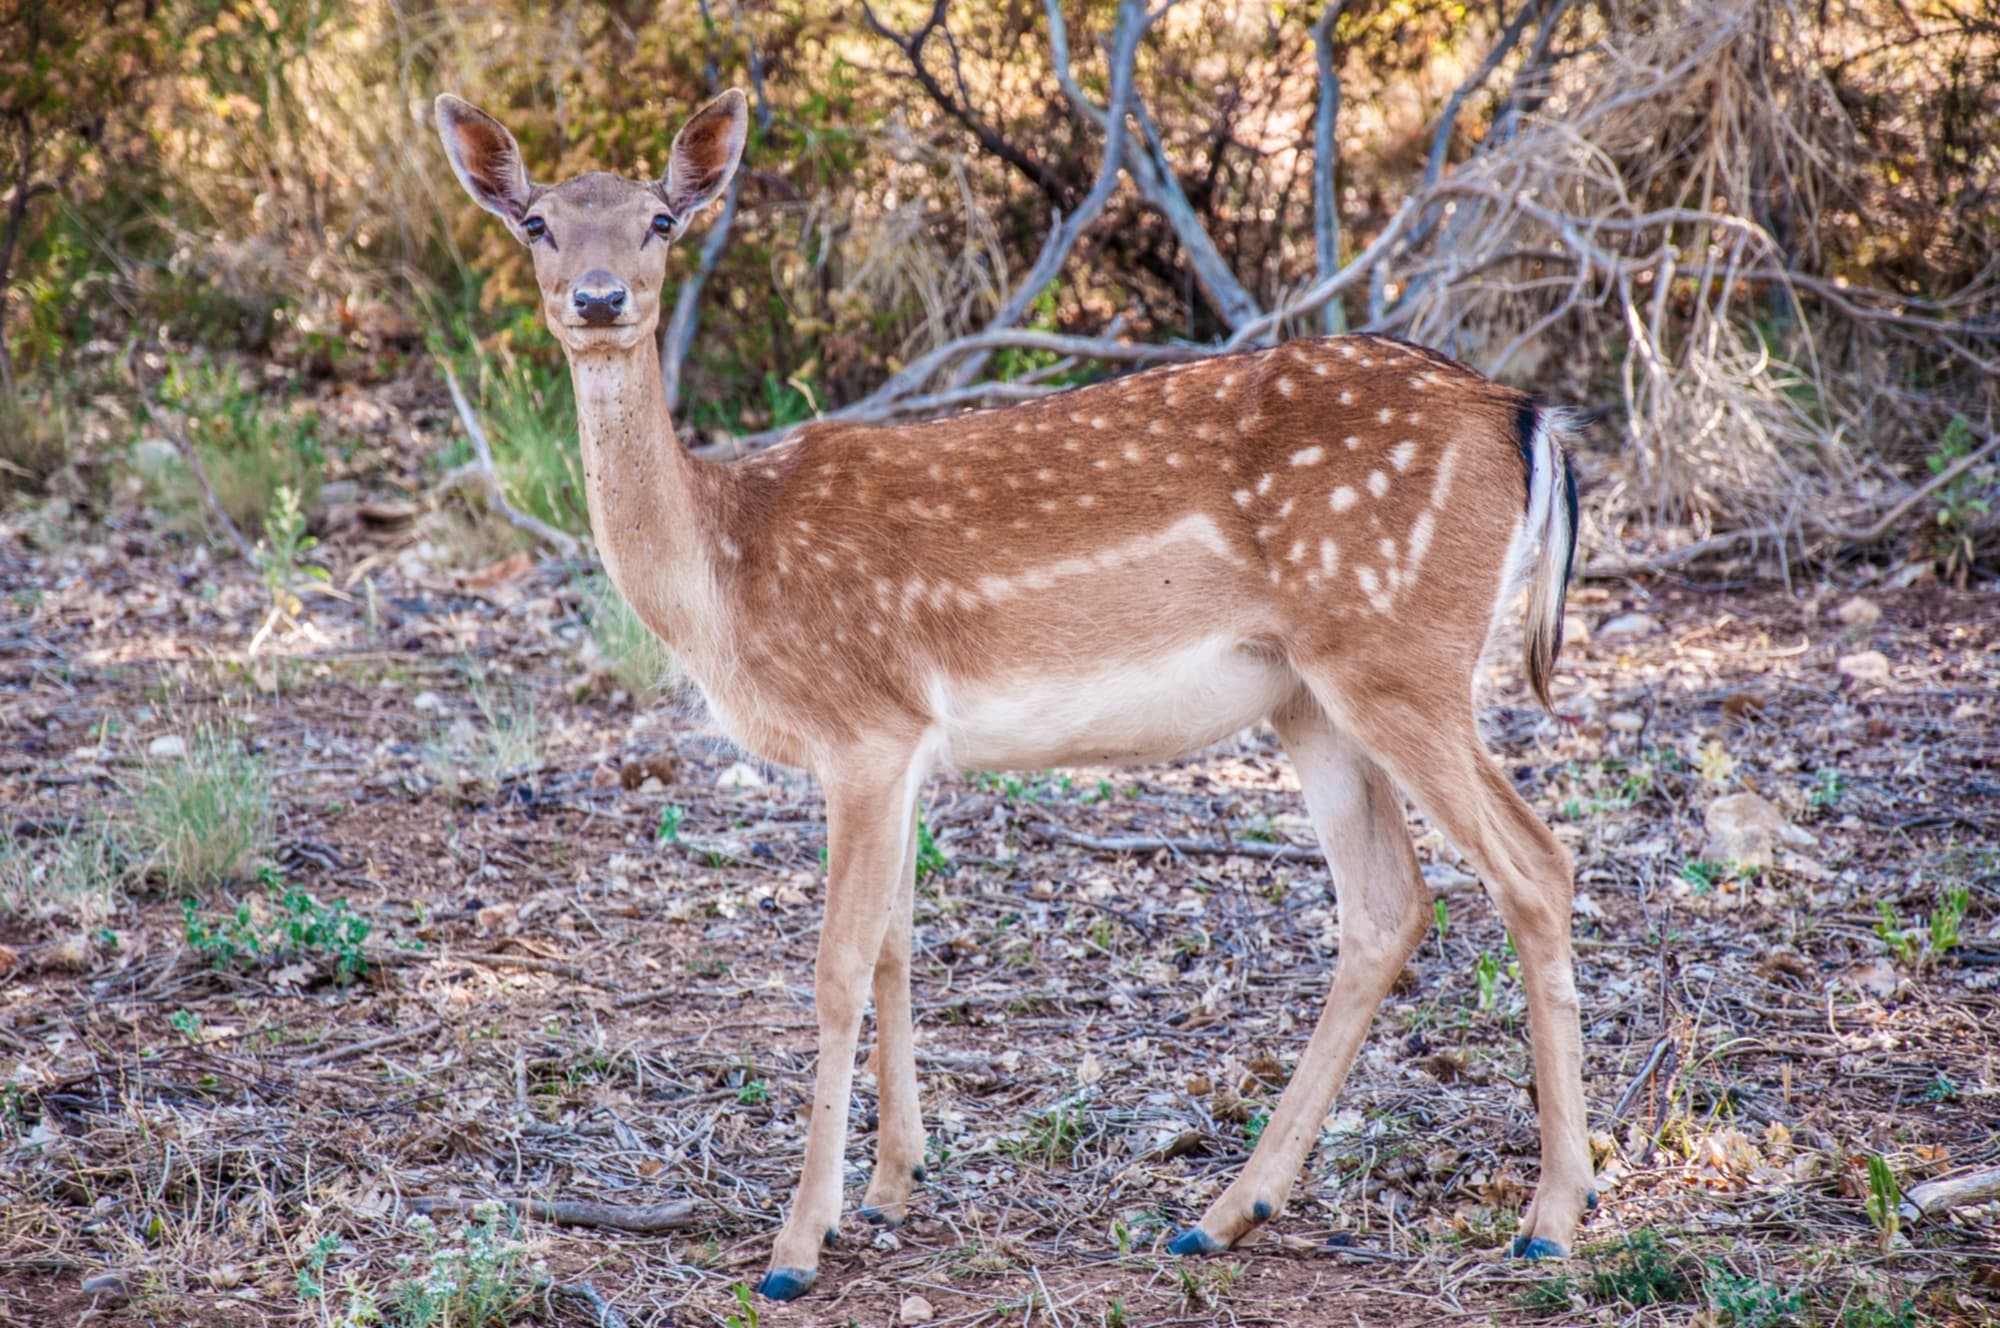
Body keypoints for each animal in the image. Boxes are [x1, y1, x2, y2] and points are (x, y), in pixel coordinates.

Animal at [436, 86, 1593, 1302]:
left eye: (660, 220)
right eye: (537, 225)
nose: (597, 297)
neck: (726, 574)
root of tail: (1526, 418)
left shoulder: (863, 724)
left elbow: (837, 965)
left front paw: (798, 1245)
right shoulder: (904, 749)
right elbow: (896, 945)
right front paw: (891, 1187)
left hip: (1401, 651)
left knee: (1532, 863)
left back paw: (1552, 1215)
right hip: (1312, 694)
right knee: (1386, 905)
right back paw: (1222, 1214)